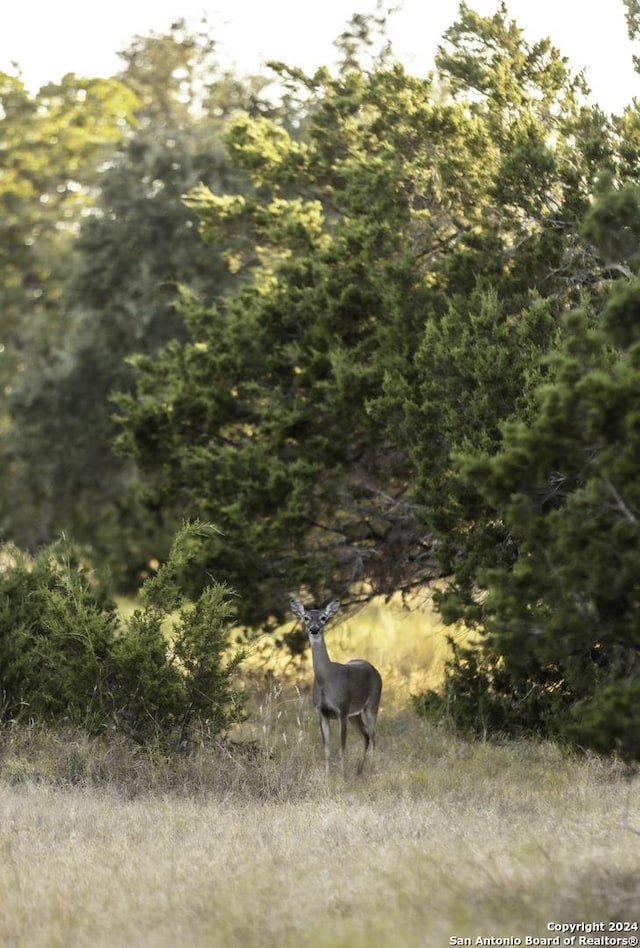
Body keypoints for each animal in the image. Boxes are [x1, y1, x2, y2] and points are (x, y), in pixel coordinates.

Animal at [290, 600, 380, 776]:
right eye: (306, 618)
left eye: (323, 618)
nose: (314, 629)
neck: (326, 679)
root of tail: (373, 668)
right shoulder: (322, 713)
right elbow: (327, 749)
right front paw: (327, 776)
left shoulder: (341, 710)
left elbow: (341, 748)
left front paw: (342, 776)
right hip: (354, 714)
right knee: (365, 735)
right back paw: (360, 769)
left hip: (372, 704)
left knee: (373, 736)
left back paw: (372, 768)